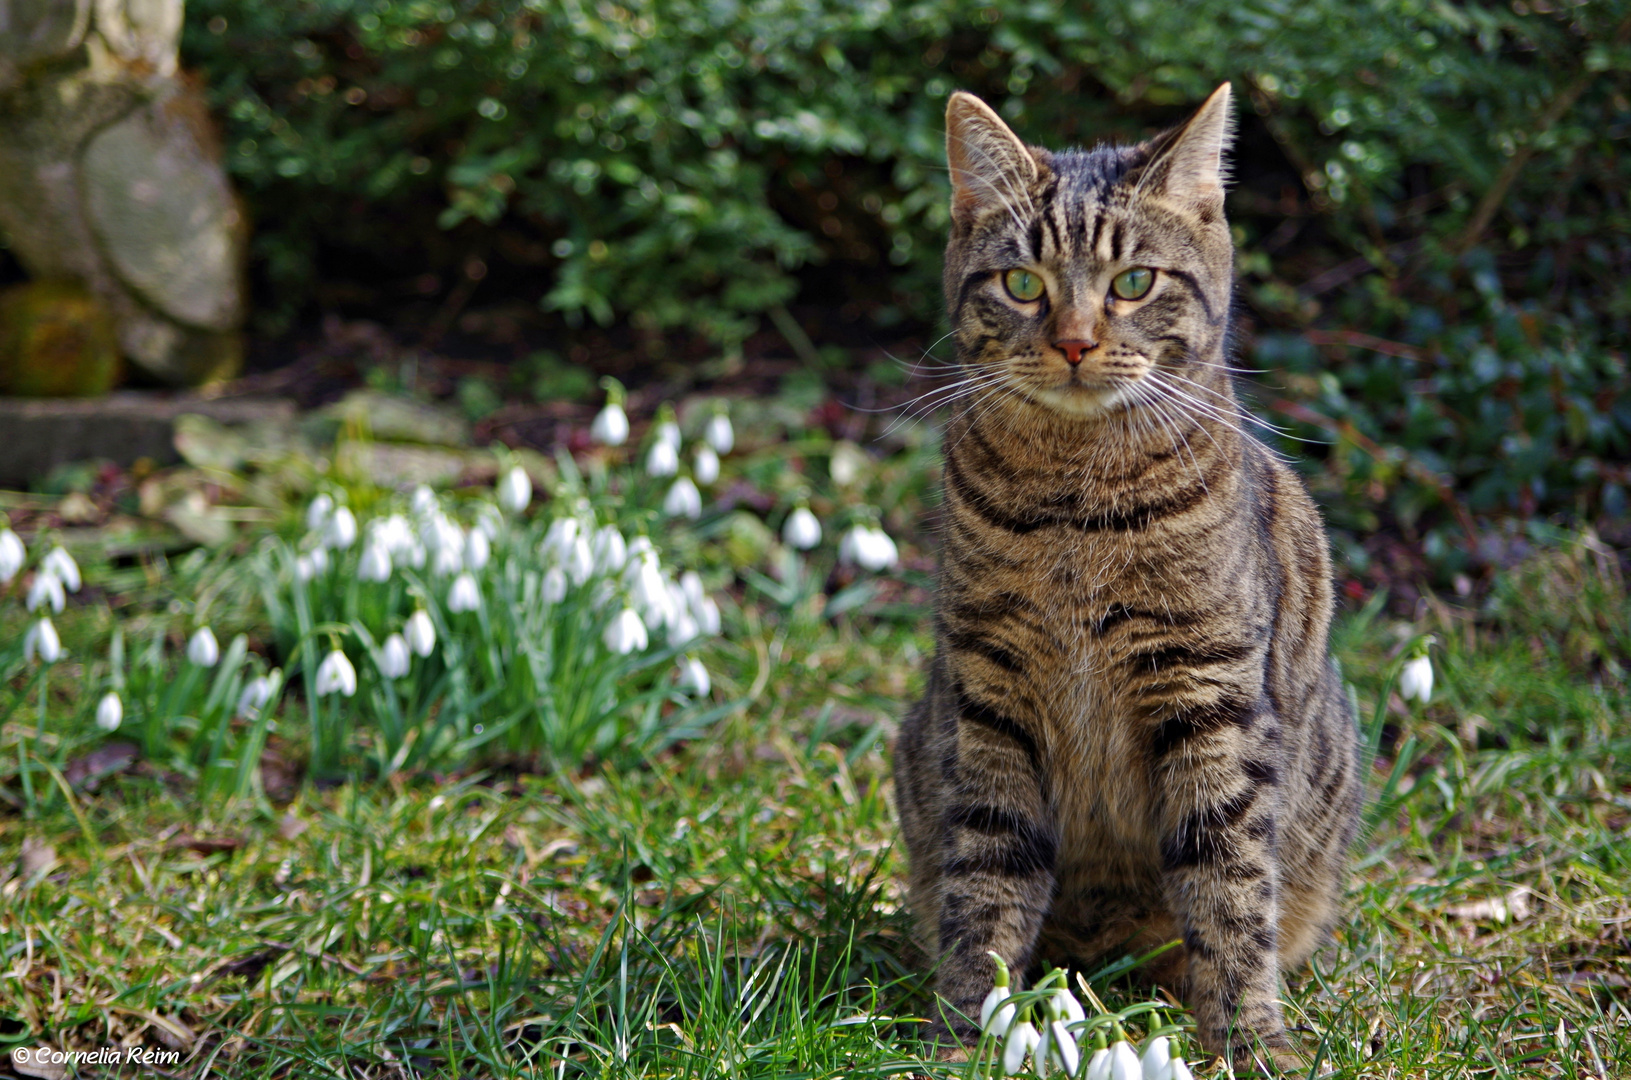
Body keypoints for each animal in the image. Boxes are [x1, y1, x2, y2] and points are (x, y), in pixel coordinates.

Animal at [893, 80, 1363, 1070]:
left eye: (1134, 282)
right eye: (1022, 283)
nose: (1073, 342)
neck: (1076, 505)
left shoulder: (1209, 692)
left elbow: (1228, 886)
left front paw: (1248, 1041)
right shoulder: (988, 694)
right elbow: (984, 880)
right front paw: (967, 1031)